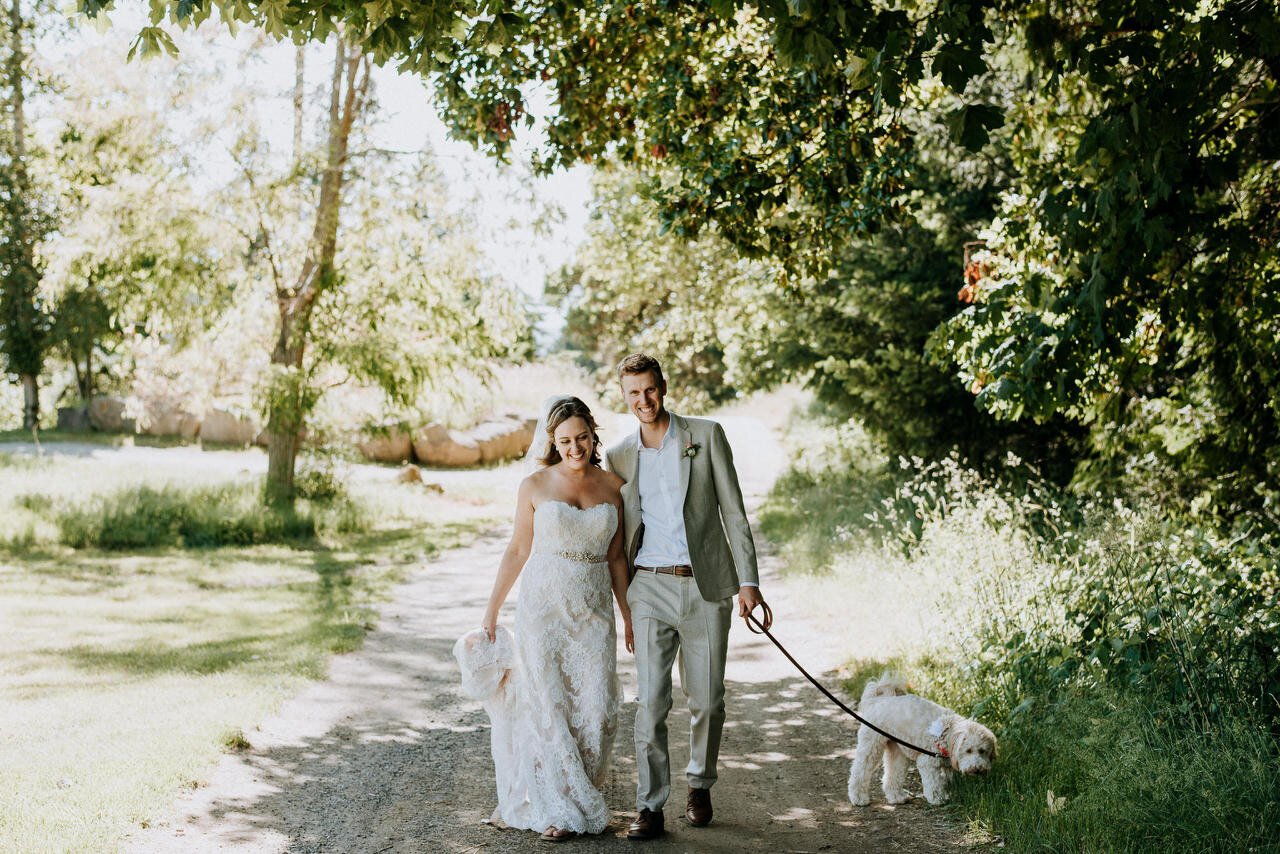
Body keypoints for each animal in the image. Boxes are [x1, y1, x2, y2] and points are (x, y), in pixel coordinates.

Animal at [849, 676, 998, 809]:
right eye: (968, 751)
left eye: (982, 751)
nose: (978, 768)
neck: (947, 732)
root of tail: (878, 700)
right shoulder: (928, 762)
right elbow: (934, 783)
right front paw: (938, 799)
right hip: (871, 746)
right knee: (859, 771)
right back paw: (858, 798)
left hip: (898, 751)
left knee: (893, 774)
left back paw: (897, 797)